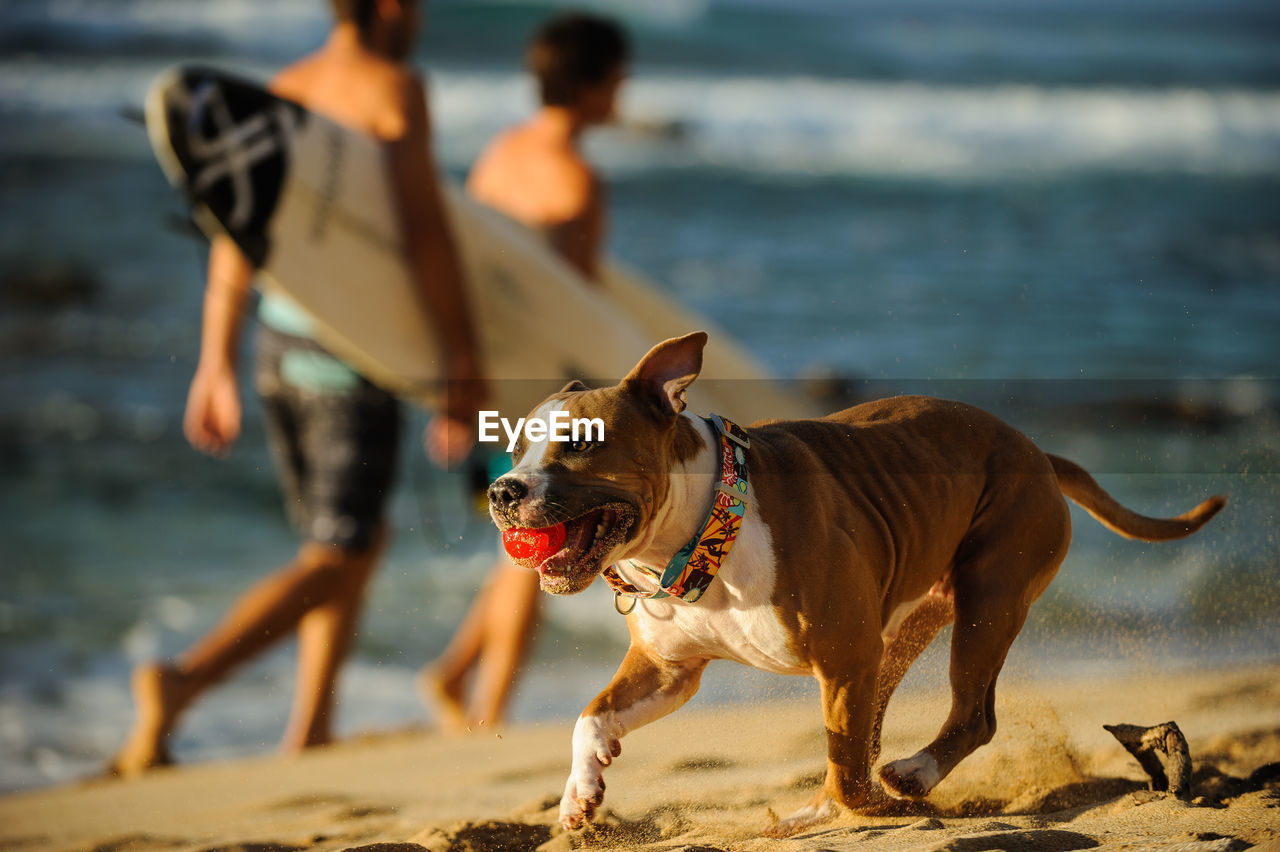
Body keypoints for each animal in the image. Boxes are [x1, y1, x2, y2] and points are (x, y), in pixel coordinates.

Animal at [486, 330, 1218, 828]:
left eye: (581, 443)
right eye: (515, 446)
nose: (502, 490)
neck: (704, 530)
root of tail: (1036, 450)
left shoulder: (841, 656)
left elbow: (842, 753)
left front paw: (855, 812)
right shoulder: (668, 668)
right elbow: (590, 716)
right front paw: (580, 792)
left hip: (987, 598)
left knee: (968, 715)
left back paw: (902, 782)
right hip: (905, 627)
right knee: (876, 729)